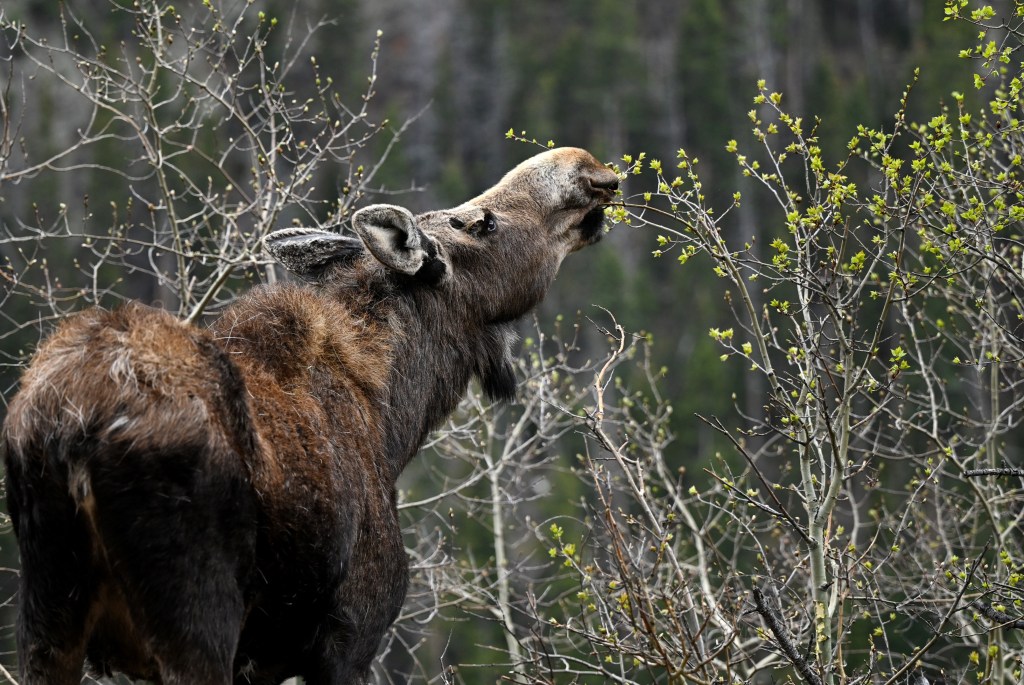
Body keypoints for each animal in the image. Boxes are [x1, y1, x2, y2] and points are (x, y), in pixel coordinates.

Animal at [1, 147, 619, 684]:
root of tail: (71, 432)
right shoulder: (350, 639)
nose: (586, 168)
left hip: (46, 619)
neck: (397, 419)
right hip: (195, 623)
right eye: (482, 223)